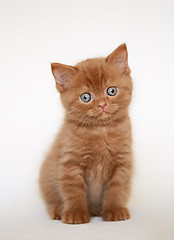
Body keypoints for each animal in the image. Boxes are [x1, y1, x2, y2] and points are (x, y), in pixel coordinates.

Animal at [39, 42, 133, 223]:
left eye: (111, 91)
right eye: (85, 97)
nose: (102, 104)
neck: (101, 130)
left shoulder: (122, 161)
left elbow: (117, 188)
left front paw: (115, 210)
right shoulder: (70, 163)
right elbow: (73, 190)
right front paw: (75, 213)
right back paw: (58, 210)